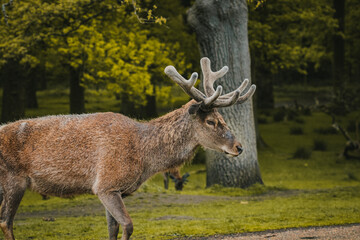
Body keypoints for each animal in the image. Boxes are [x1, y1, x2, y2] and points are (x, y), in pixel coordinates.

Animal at [0, 57, 255, 240]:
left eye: (222, 118)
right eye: (211, 121)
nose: (239, 147)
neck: (144, 157)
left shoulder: (112, 190)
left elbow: (112, 229)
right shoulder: (106, 183)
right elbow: (128, 225)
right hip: (13, 179)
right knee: (6, 221)